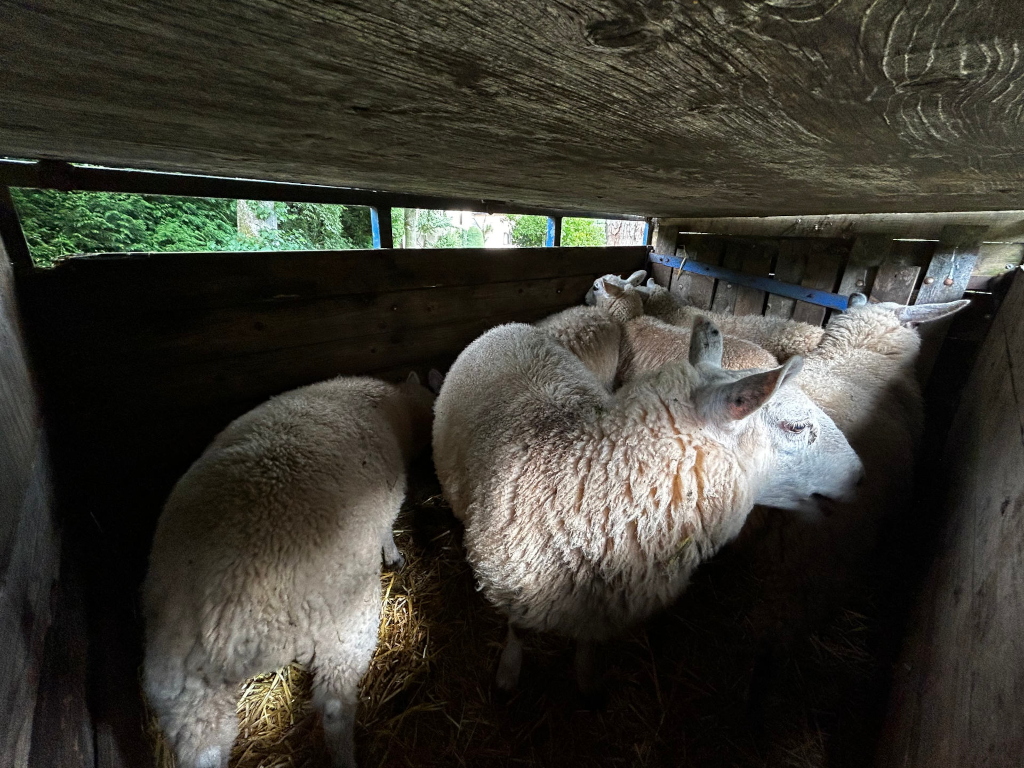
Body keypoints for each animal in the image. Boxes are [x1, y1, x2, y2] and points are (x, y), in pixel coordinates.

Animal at [143, 373, 435, 768]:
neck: (395, 405)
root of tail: (226, 622)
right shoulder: (392, 495)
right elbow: (388, 531)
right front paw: (392, 555)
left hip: (182, 691)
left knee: (202, 747)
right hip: (344, 630)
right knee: (334, 709)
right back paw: (346, 756)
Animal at [432, 317, 863, 693]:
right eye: (796, 426)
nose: (860, 475)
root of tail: (508, 327)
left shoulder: (603, 607)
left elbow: (588, 643)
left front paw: (587, 677)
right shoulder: (510, 582)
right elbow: (516, 630)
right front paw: (508, 670)